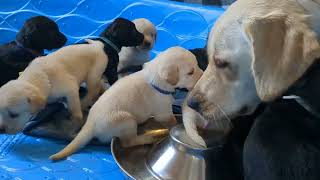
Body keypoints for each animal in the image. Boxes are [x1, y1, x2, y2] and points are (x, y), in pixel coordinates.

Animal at [0, 17, 144, 134]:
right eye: (133, 30)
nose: (142, 36)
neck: (106, 42)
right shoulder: (112, 70)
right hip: (92, 76)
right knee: (92, 90)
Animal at [49, 46, 202, 160]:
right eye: (190, 72)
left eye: (197, 64)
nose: (202, 76)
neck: (155, 80)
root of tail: (90, 124)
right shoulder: (163, 112)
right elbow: (171, 121)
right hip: (126, 120)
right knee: (128, 142)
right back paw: (147, 138)